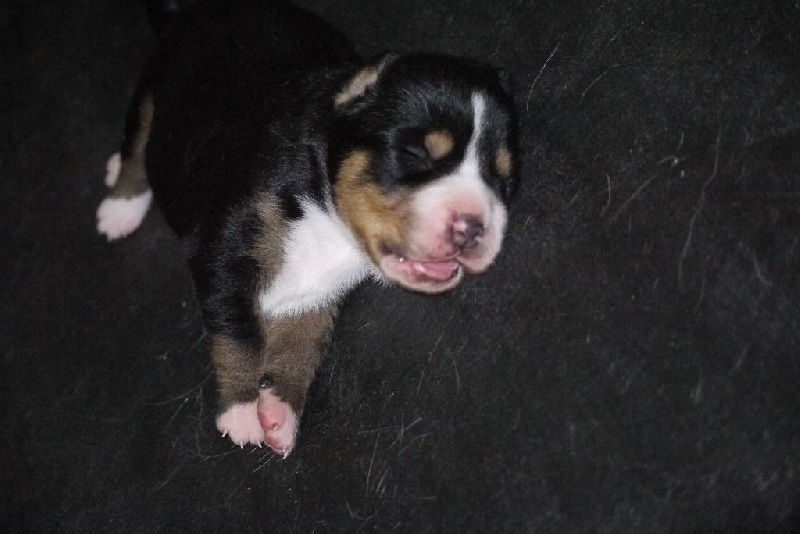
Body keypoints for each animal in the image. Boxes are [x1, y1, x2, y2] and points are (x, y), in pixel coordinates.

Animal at [96, 0, 519, 457]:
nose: (472, 228)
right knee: (137, 143)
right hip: (152, 86)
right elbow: (239, 334)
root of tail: (195, 10)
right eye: (414, 152)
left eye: (503, 181)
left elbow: (304, 344)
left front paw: (280, 411)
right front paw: (242, 409)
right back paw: (119, 204)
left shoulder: (317, 296)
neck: (327, 218)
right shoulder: (223, 249)